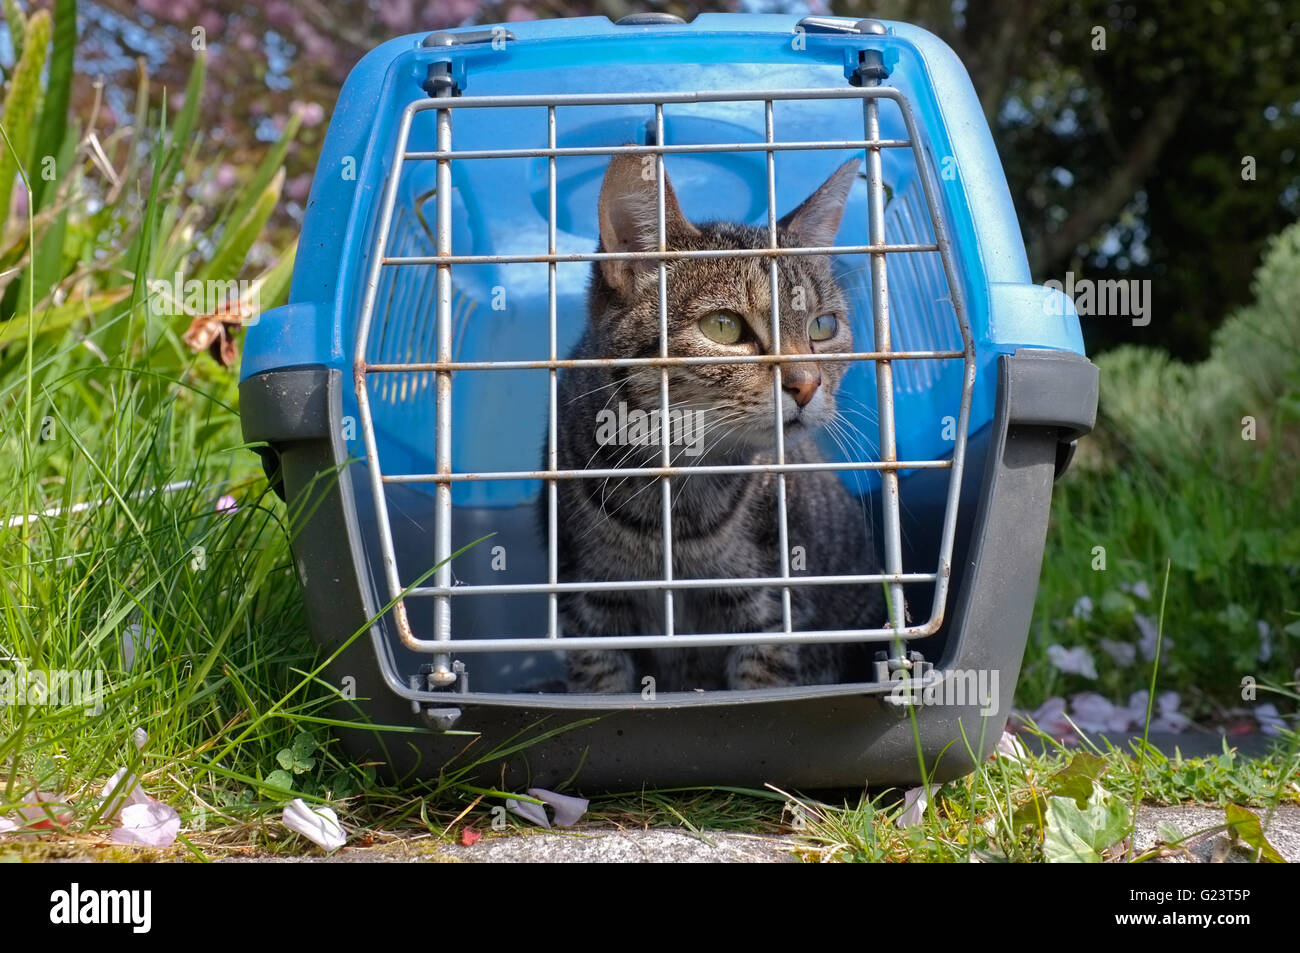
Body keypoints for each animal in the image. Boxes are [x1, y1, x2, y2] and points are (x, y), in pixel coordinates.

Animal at [543, 156, 889, 691]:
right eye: (723, 327)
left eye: (823, 327)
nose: (807, 384)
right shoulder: (589, 609)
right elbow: (603, 688)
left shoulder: (770, 612)